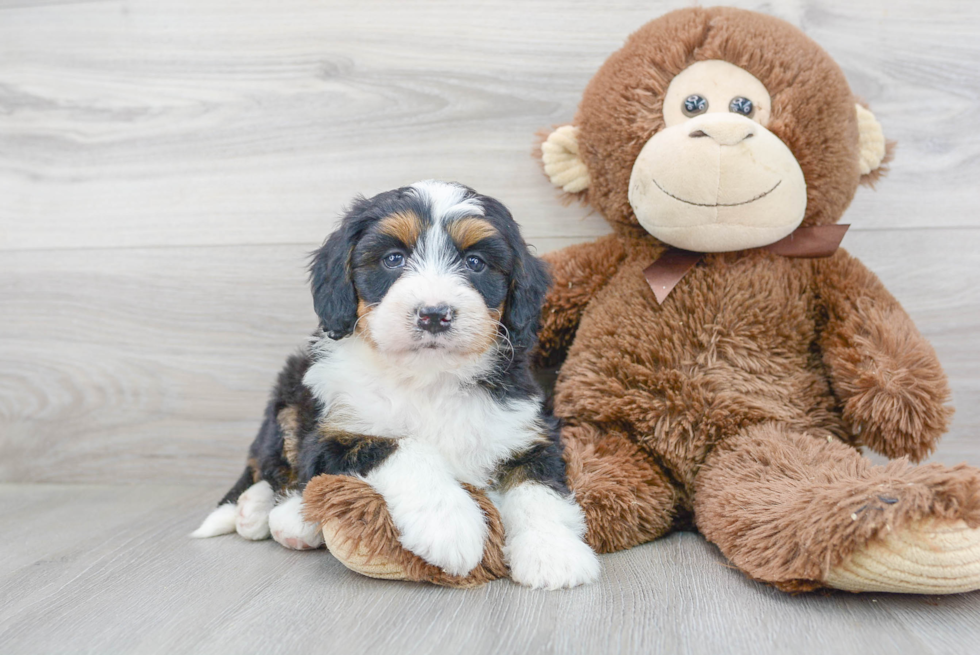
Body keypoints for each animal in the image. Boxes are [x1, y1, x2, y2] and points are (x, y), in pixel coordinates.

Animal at [192, 182, 600, 592]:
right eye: (392, 259)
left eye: (475, 262)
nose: (434, 314)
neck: (428, 377)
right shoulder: (335, 432)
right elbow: (402, 447)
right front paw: (450, 525)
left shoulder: (525, 429)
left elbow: (538, 485)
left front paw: (552, 552)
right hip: (291, 394)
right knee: (273, 465)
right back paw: (271, 514)